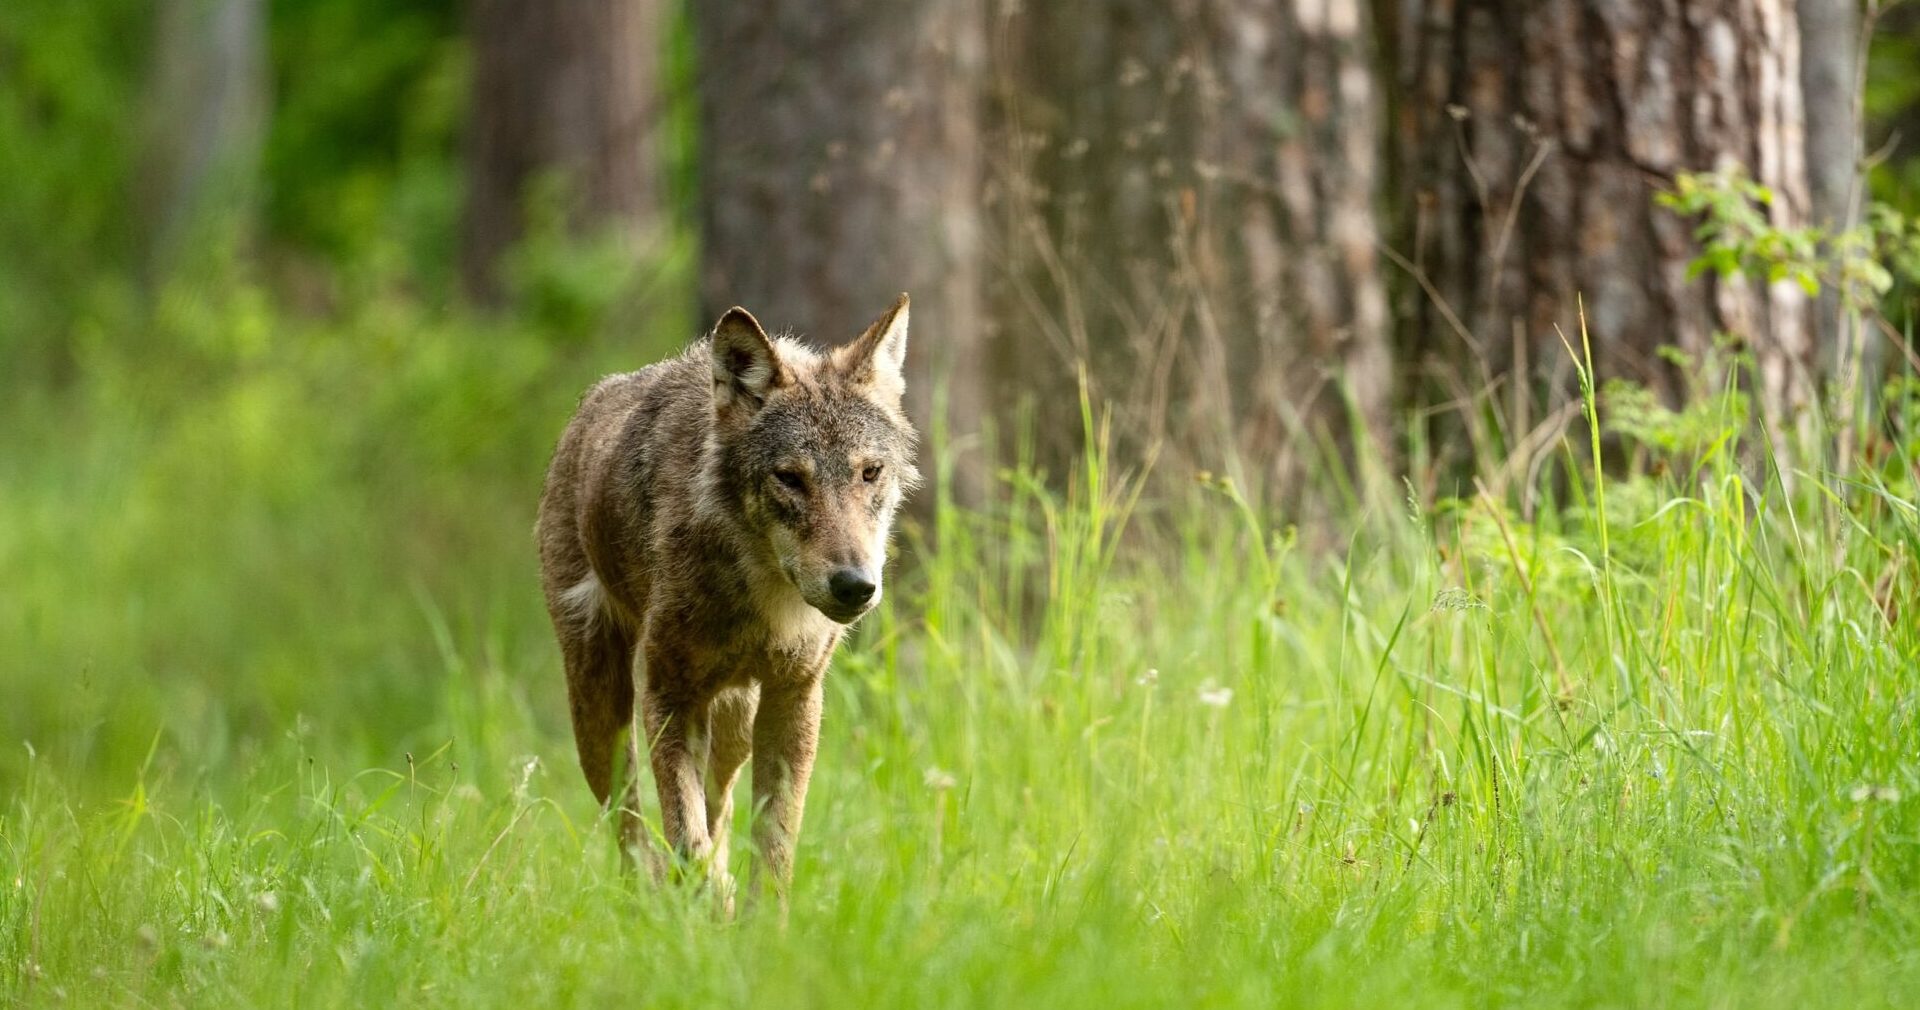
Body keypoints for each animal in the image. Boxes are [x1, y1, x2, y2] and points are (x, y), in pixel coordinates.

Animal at [536, 294, 918, 901]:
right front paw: (705, 901)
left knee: (720, 806)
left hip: (735, 722)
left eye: (869, 472)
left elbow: (772, 846)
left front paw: (758, 918)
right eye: (790, 478)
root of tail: (590, 402)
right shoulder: (668, 695)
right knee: (631, 825)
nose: (855, 585)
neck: (766, 599)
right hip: (598, 708)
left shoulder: (795, 697)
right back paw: (650, 897)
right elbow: (686, 835)